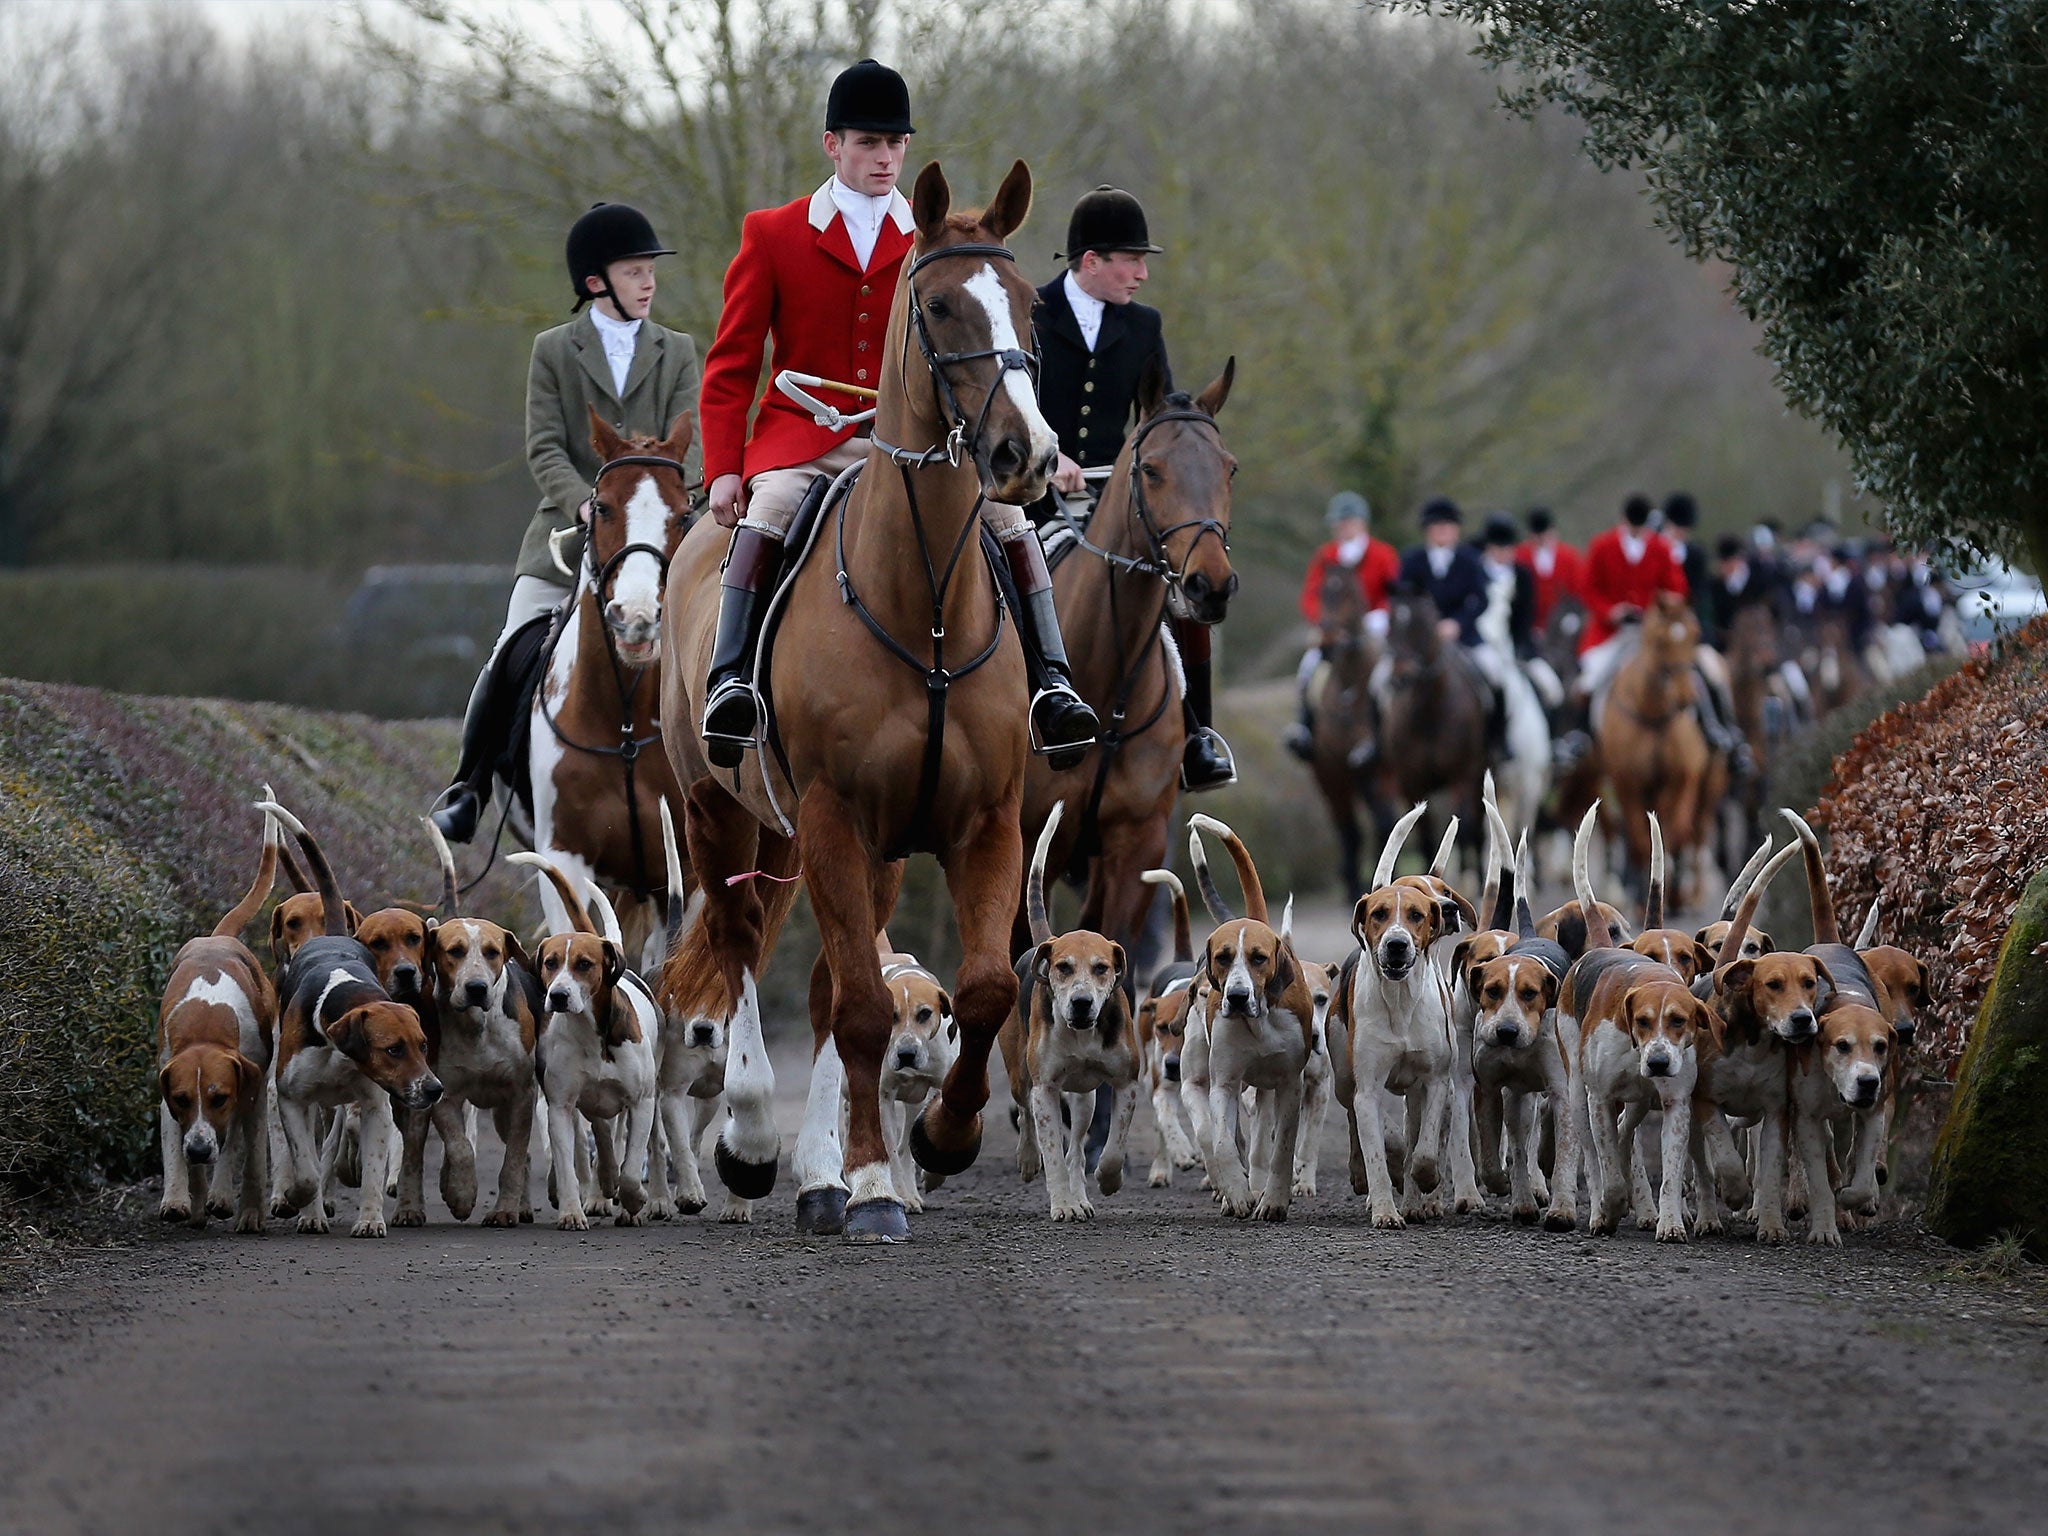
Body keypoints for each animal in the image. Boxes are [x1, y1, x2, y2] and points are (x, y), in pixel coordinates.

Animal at [528, 409, 696, 962]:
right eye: (601, 508)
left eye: (684, 514)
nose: (637, 618)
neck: (623, 722)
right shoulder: (564, 859)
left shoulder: (686, 874)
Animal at [663, 162, 1056, 1245]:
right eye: (939, 305)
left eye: (1032, 305)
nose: (1027, 454)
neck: (921, 606)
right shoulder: (835, 817)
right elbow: (868, 1013)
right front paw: (878, 1182)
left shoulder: (983, 822)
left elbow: (982, 986)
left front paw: (942, 1140)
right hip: (723, 813)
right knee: (740, 949)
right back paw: (757, 1144)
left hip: (840, 849)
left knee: (826, 982)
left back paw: (819, 1174)